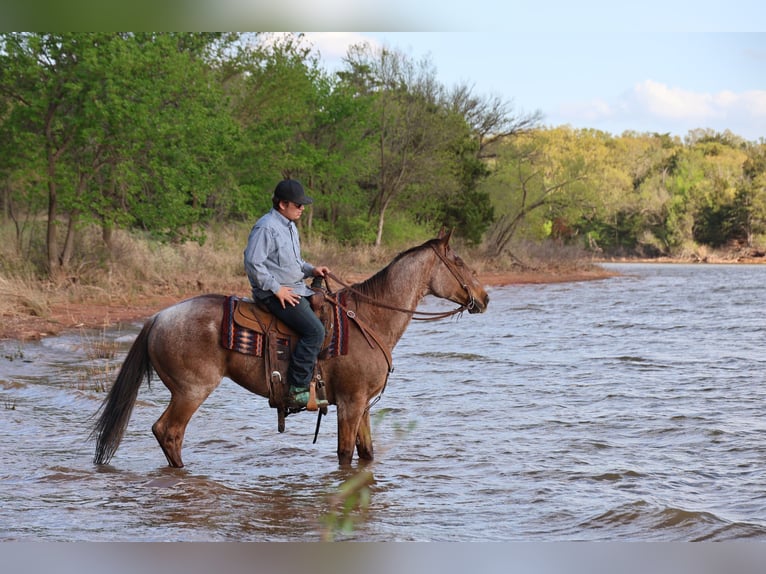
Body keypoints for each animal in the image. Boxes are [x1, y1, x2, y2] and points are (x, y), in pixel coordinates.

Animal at [91, 229, 489, 467]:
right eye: (458, 261)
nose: (484, 297)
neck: (369, 320)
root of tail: (159, 316)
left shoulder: (363, 406)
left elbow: (366, 455)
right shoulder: (350, 404)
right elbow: (345, 455)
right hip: (191, 391)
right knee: (168, 432)